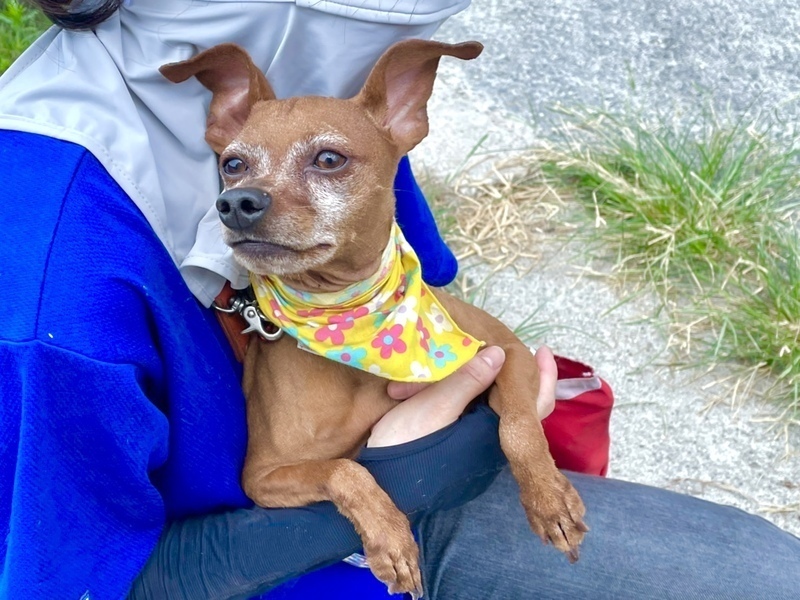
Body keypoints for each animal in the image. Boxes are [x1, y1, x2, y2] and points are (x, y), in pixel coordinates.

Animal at [161, 39, 587, 597]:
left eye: (329, 158)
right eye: (233, 163)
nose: (234, 201)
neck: (356, 320)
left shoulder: (505, 348)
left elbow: (517, 423)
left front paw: (549, 498)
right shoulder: (264, 477)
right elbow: (346, 469)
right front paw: (390, 538)